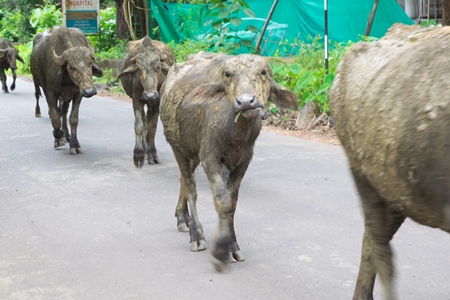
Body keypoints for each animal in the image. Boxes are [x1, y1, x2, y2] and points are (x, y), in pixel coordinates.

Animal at [30, 26, 102, 155]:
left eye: (89, 63)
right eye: (72, 67)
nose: (89, 91)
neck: (68, 80)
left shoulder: (78, 94)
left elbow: (73, 119)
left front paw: (74, 143)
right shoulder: (50, 93)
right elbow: (55, 118)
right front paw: (58, 137)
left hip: (66, 96)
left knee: (64, 111)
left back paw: (67, 134)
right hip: (36, 81)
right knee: (37, 95)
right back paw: (38, 113)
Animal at [118, 36, 176, 168]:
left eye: (158, 67)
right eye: (139, 69)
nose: (150, 95)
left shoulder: (156, 103)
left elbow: (152, 127)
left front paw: (152, 154)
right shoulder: (137, 100)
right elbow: (139, 125)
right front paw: (138, 154)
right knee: (144, 120)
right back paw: (144, 148)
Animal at [160, 52, 298, 270]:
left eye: (263, 72)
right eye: (227, 74)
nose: (246, 102)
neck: (236, 134)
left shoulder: (242, 163)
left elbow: (231, 204)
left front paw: (232, 247)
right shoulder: (210, 159)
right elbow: (221, 202)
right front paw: (220, 250)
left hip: (191, 153)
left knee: (183, 179)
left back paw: (183, 217)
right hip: (178, 147)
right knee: (190, 187)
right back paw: (196, 235)